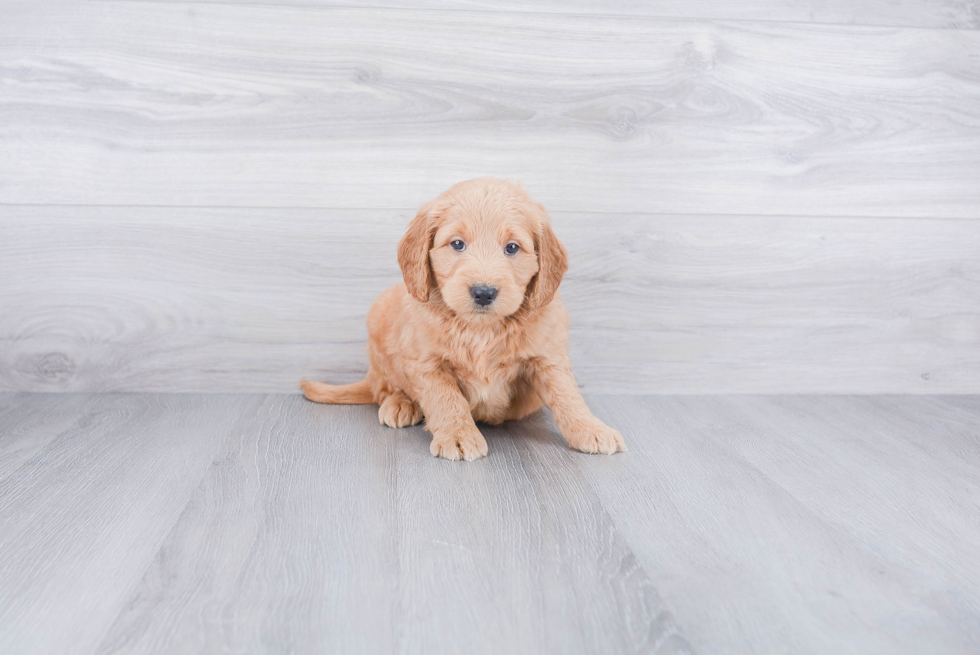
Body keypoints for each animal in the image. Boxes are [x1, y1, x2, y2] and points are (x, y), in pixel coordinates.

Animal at [300, 176, 628, 462]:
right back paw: (400, 404)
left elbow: (566, 393)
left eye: (512, 247)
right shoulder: (427, 363)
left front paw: (590, 428)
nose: (483, 292)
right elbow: (446, 399)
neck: (481, 328)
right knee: (385, 388)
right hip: (379, 327)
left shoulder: (548, 356)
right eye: (457, 244)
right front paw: (458, 436)